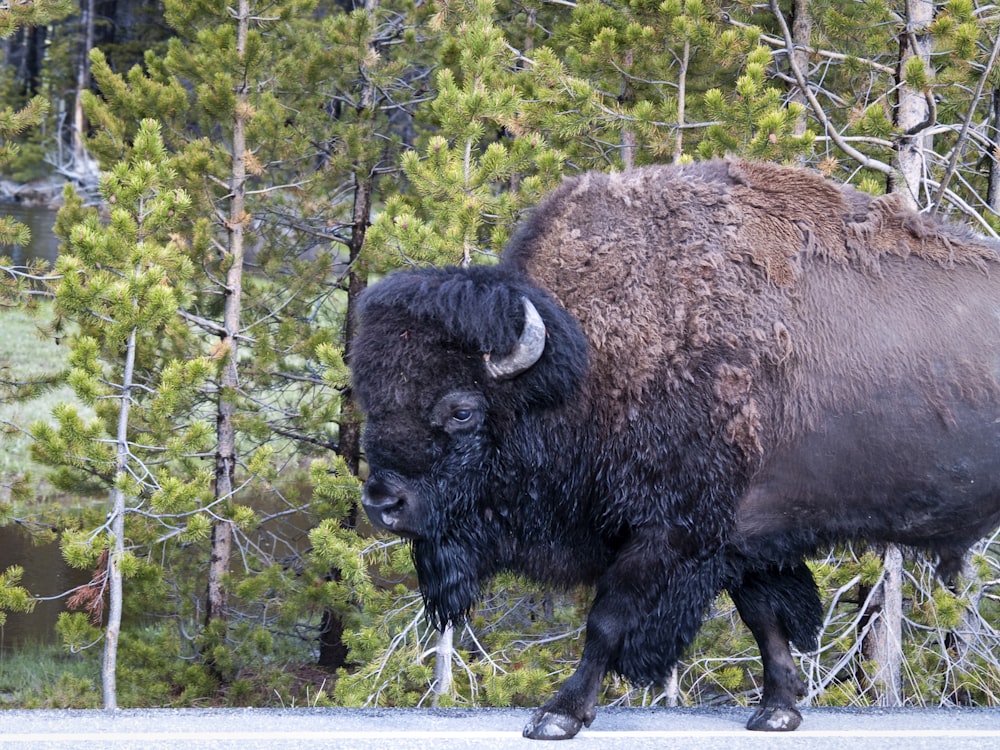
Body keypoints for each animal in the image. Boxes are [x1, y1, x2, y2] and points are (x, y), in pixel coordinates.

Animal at [348, 159, 1000, 740]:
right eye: (370, 398)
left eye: (462, 410)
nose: (381, 503)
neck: (587, 363)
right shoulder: (744, 538)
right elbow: (765, 621)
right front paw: (777, 712)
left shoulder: (672, 533)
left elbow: (607, 622)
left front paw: (557, 715)